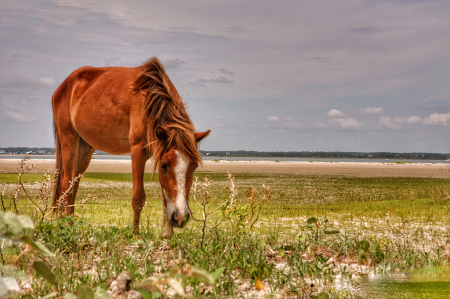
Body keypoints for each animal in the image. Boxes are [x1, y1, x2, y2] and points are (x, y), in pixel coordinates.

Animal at [51, 56, 210, 239]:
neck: (150, 101)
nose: (180, 217)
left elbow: (165, 196)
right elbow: (138, 197)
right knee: (66, 186)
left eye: (194, 166)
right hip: (68, 140)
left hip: (84, 148)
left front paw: (166, 233)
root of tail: (63, 86)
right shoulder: (138, 152)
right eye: (164, 165)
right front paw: (135, 232)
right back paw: (67, 226)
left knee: (73, 185)